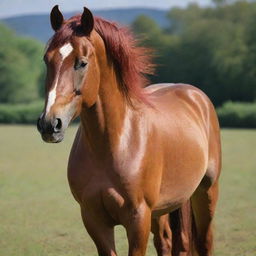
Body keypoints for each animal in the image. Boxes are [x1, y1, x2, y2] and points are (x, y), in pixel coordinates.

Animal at [37, 6, 221, 256]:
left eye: (81, 63)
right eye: (47, 60)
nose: (49, 124)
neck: (116, 142)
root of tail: (196, 97)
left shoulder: (138, 218)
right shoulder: (94, 219)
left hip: (205, 193)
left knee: (204, 241)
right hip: (163, 209)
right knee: (167, 241)